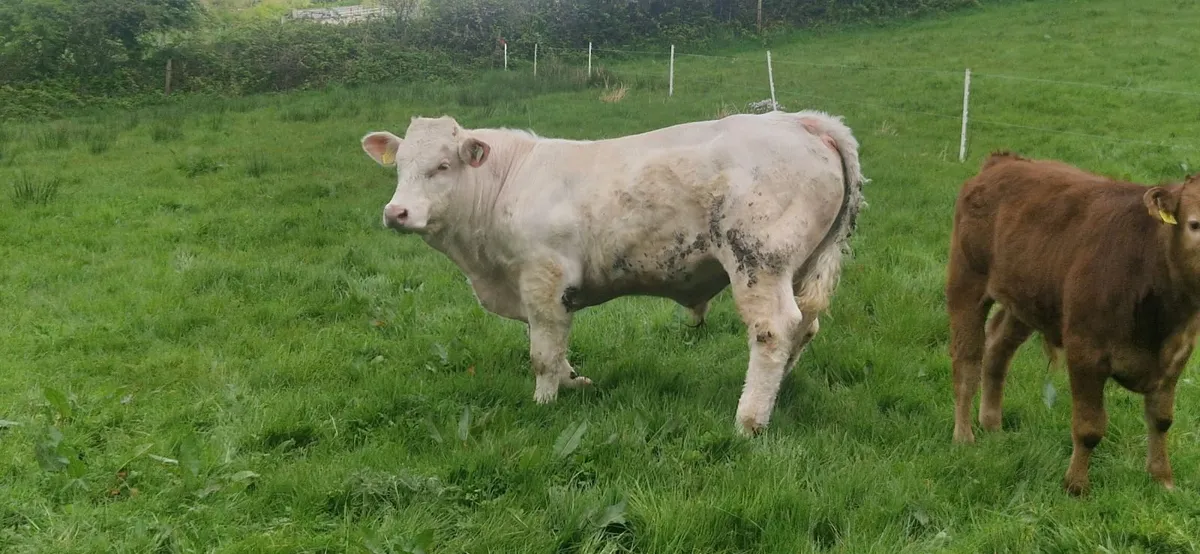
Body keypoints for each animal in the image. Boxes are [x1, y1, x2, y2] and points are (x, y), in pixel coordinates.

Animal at [360, 110, 866, 436]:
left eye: (443, 165)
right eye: (399, 167)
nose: (395, 212)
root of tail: (803, 120)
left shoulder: (543, 277)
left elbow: (542, 352)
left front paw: (544, 404)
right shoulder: (539, 292)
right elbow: (555, 345)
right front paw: (573, 381)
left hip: (759, 261)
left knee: (773, 330)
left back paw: (749, 420)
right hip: (799, 266)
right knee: (805, 326)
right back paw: (782, 389)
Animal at [946, 150, 1200, 495]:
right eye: (1194, 224)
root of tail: (1005, 161)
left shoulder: (1178, 354)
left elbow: (1161, 420)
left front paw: (1163, 480)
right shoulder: (1085, 350)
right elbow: (1089, 427)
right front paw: (1076, 486)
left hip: (1025, 298)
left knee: (998, 350)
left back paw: (993, 426)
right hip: (967, 282)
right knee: (967, 362)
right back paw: (964, 436)